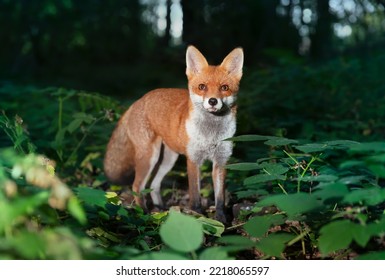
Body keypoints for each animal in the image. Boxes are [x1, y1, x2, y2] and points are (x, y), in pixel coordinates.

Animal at [104, 45, 243, 221]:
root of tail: (137, 101)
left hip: (168, 159)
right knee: (137, 185)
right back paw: (144, 213)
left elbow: (220, 198)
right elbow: (195, 196)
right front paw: (198, 216)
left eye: (224, 88)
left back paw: (160, 209)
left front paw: (221, 220)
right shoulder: (193, 159)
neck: (211, 135)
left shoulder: (221, 160)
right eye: (202, 87)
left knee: (154, 184)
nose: (212, 101)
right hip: (150, 157)